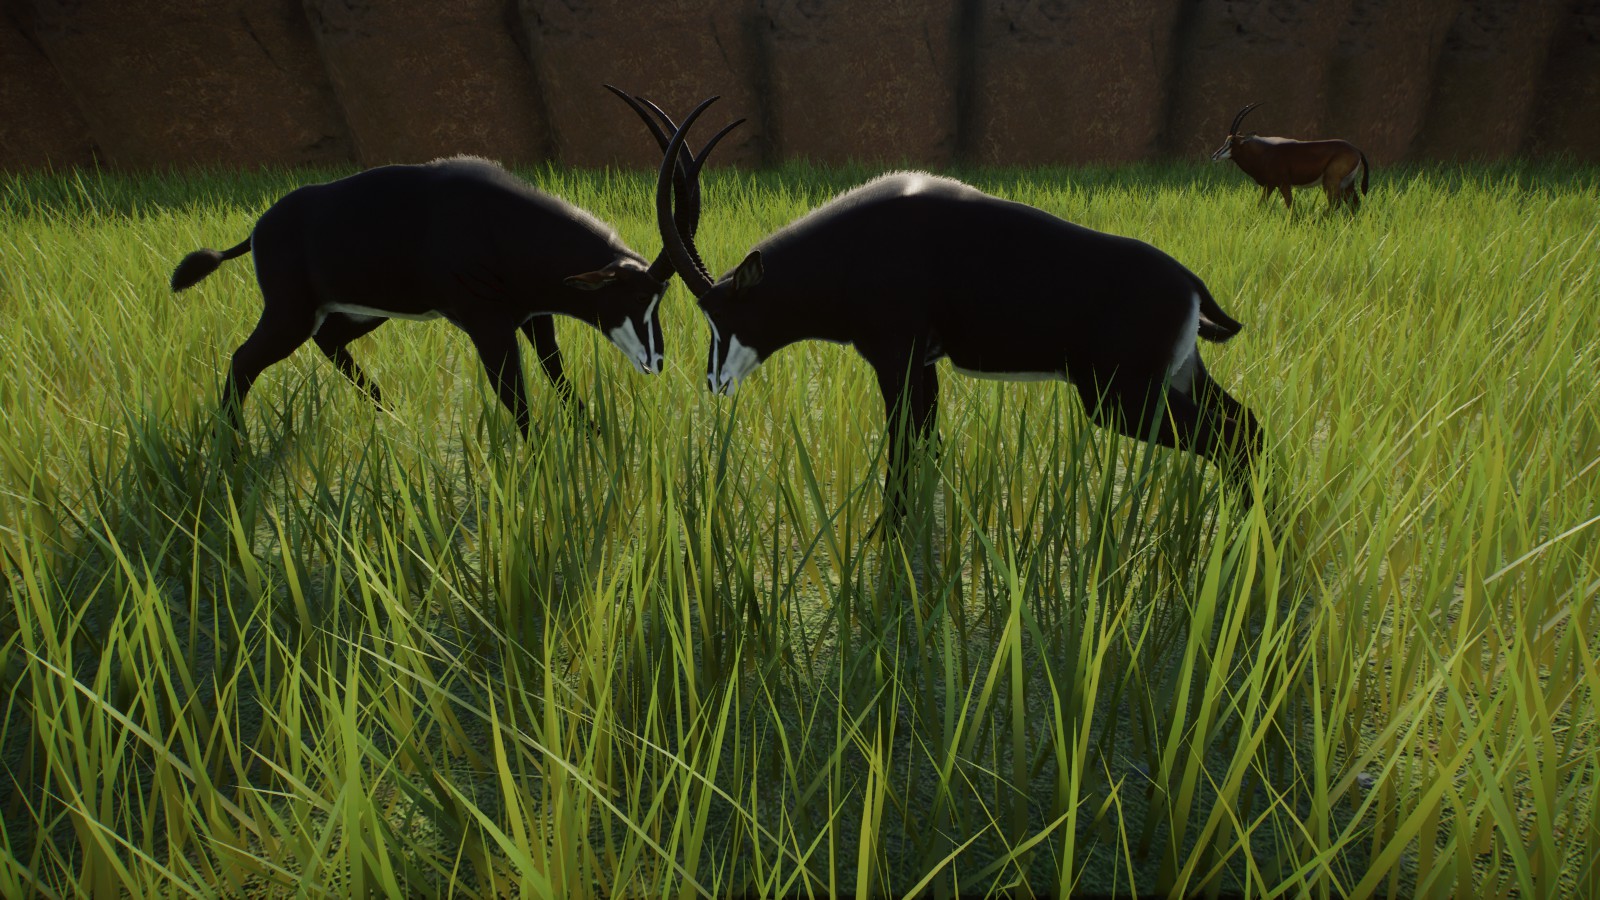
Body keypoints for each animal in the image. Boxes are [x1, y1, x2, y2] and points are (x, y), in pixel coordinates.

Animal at [170, 86, 735, 437]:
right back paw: (233, 445)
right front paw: (539, 460)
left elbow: (556, 374)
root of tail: (258, 229)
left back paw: (391, 417)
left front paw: (592, 435)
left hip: (360, 310)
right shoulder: (488, 324)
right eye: (636, 295)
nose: (655, 361)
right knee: (244, 360)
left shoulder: (535, 316)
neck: (502, 225)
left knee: (328, 341)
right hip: (289, 313)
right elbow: (515, 396)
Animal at [656, 98, 1263, 517]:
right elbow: (927, 445)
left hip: (1119, 399)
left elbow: (903, 449)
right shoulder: (923, 365)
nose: (713, 382)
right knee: (1247, 426)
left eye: (724, 314)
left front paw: (887, 539)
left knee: (1230, 439)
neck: (856, 245)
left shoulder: (895, 358)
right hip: (1177, 378)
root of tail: (1190, 284)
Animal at [1212, 103, 1369, 214]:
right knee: (1354, 204)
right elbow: (1261, 204)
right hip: (1347, 184)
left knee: (1335, 204)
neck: (1264, 152)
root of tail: (1356, 150)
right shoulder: (1270, 185)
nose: (1215, 156)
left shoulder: (1283, 184)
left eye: (1232, 142)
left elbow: (1290, 206)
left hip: (1331, 182)